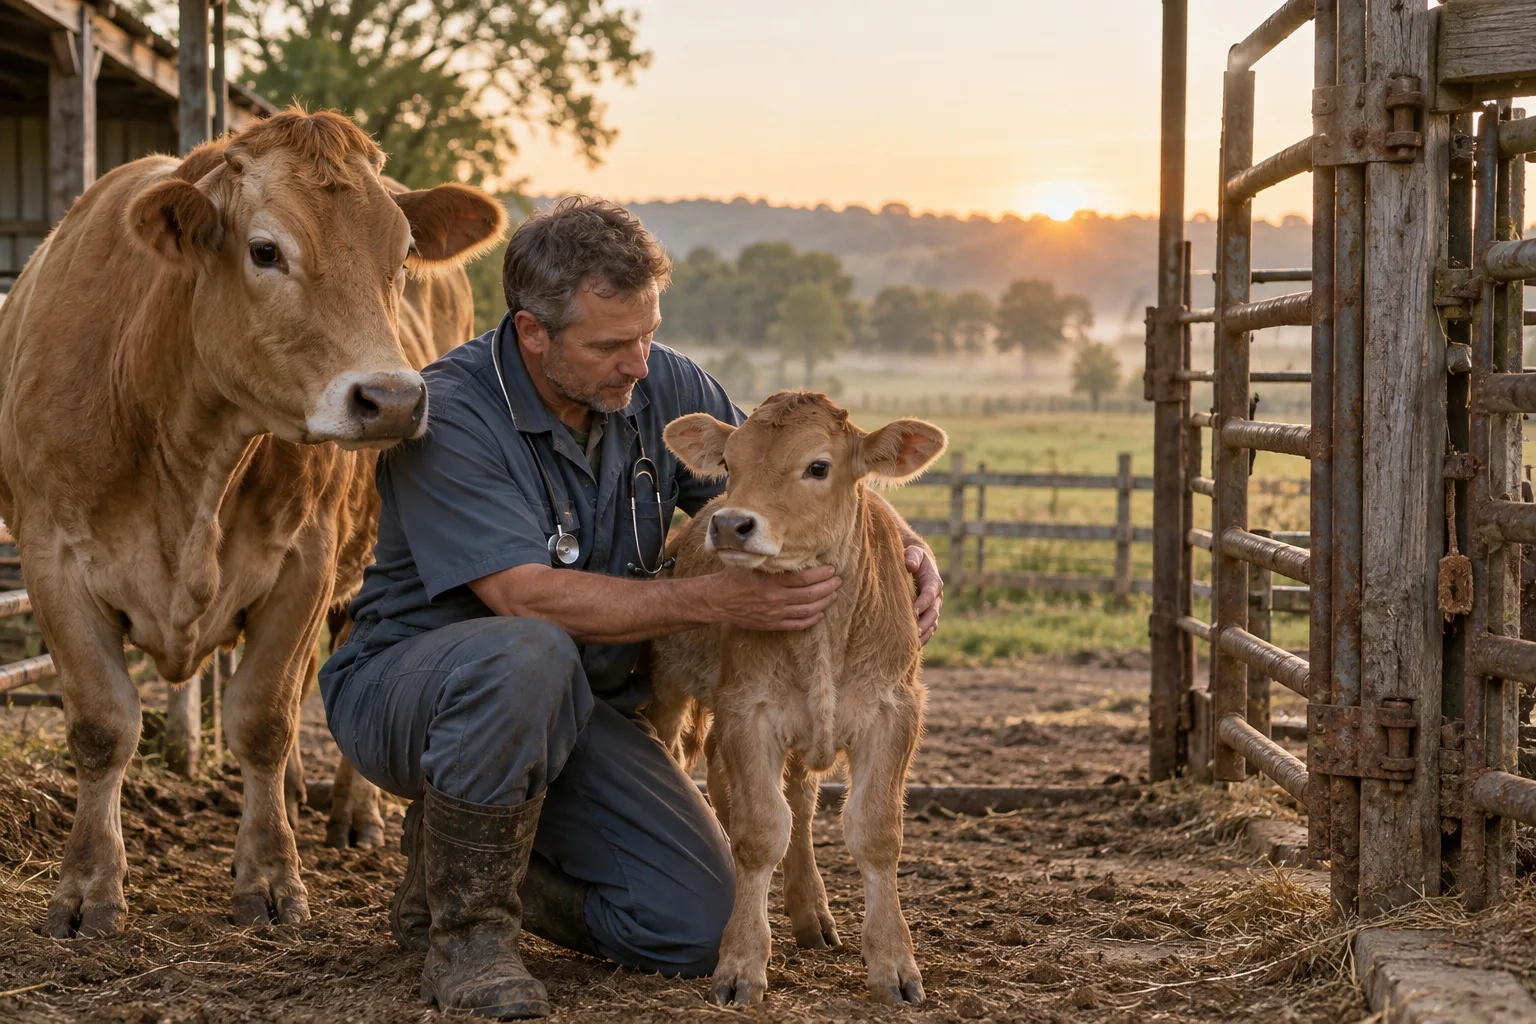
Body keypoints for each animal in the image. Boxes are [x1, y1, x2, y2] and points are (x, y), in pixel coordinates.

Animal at [0, 108, 506, 937]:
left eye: (402, 253)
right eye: (265, 251)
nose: (393, 400)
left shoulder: (305, 561)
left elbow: (265, 717)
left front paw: (270, 875)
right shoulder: (51, 561)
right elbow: (102, 725)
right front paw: (86, 888)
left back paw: (350, 814)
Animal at [648, 390, 947, 1006]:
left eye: (818, 466)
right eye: (730, 462)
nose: (731, 524)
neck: (825, 641)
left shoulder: (894, 713)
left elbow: (876, 833)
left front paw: (894, 963)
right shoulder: (747, 712)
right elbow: (759, 831)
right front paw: (741, 962)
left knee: (801, 806)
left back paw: (812, 915)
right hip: (672, 691)